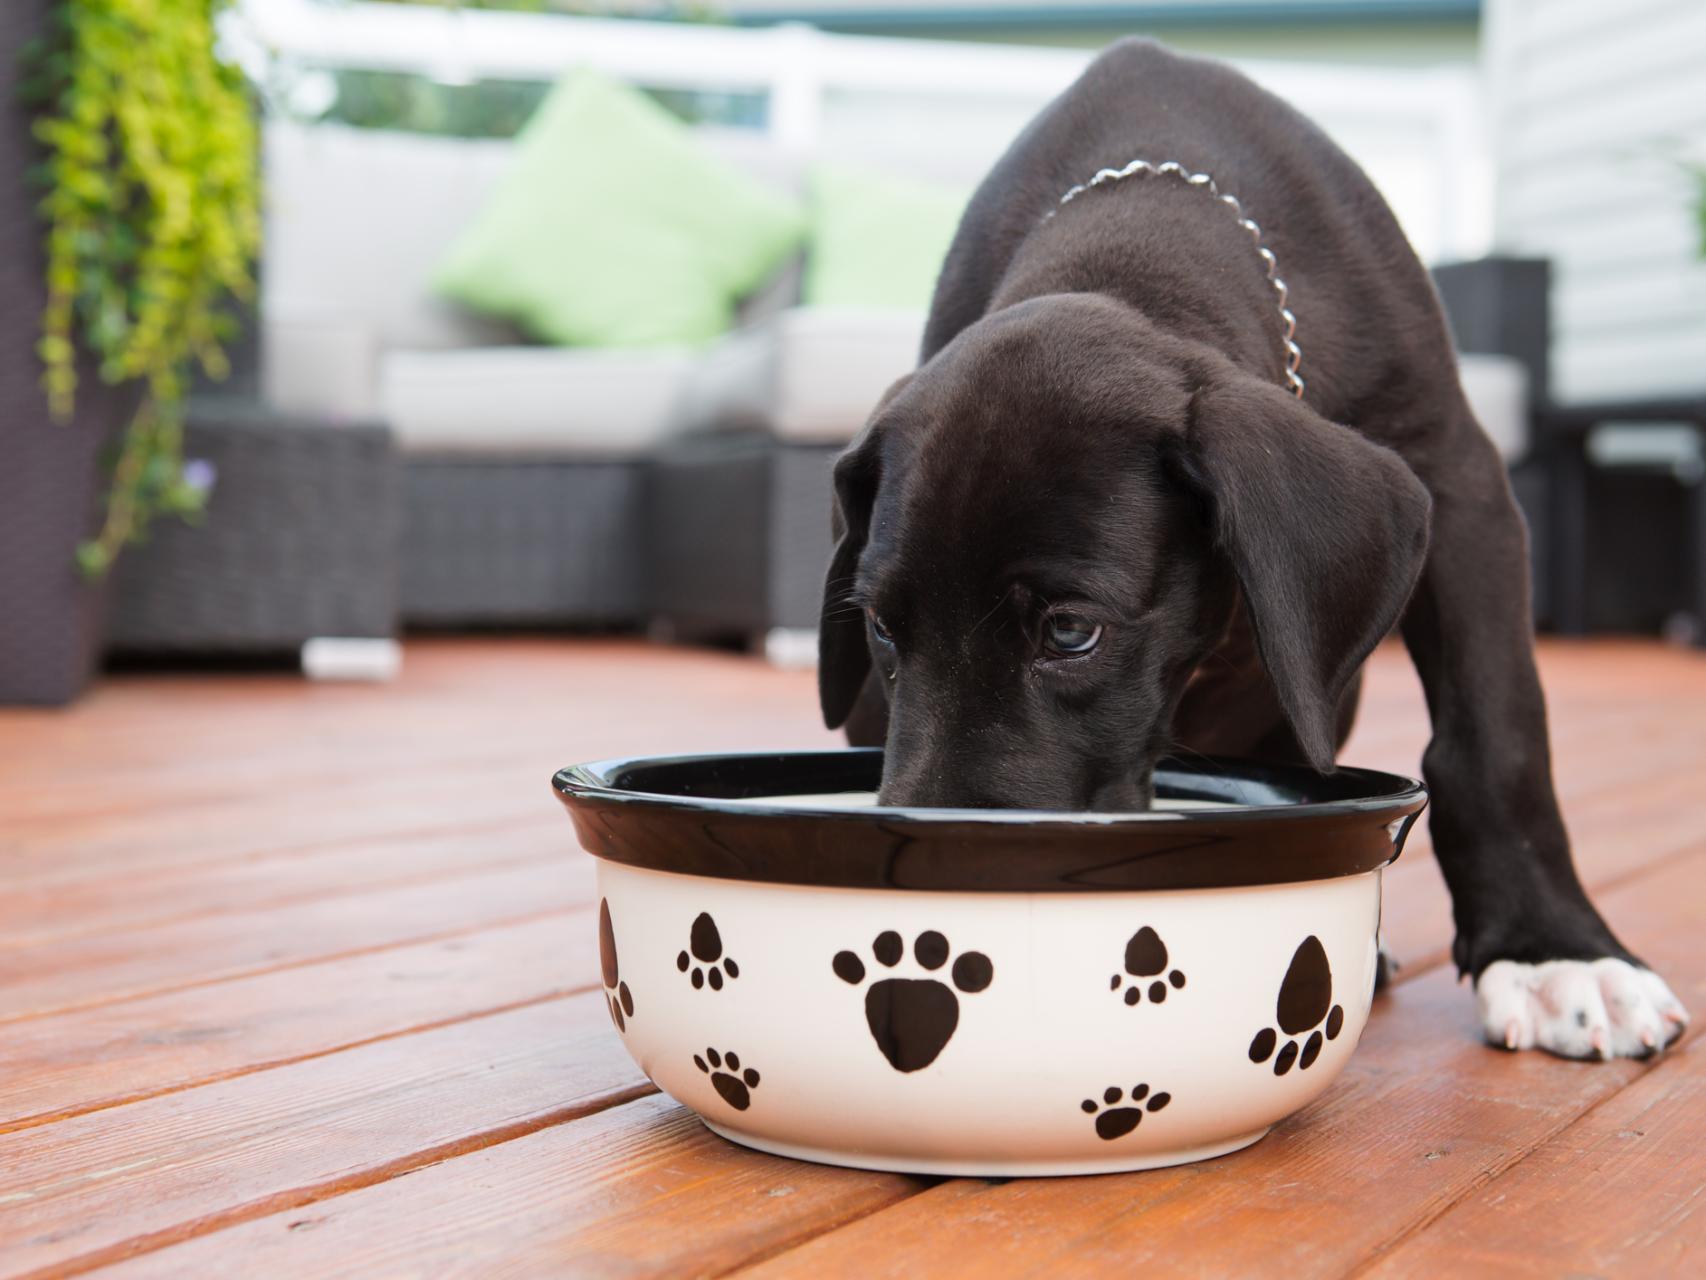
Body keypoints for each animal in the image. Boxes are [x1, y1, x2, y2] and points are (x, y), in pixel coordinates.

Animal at [818, 40, 1685, 1064]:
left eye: (1070, 633)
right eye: (881, 626)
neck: (1146, 222)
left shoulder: (1460, 482)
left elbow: (1494, 729)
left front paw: (1555, 952)